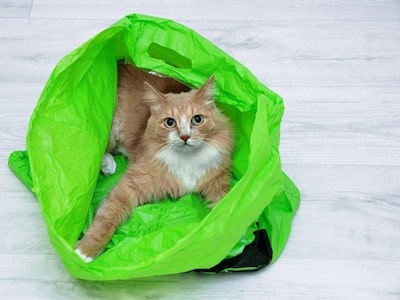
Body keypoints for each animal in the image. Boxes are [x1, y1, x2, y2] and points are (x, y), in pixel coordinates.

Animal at [74, 63, 234, 262]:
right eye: (170, 122)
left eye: (197, 119)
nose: (185, 137)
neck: (187, 158)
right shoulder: (130, 186)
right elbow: (107, 216)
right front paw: (85, 251)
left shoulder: (217, 182)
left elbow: (225, 205)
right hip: (110, 132)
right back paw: (107, 165)